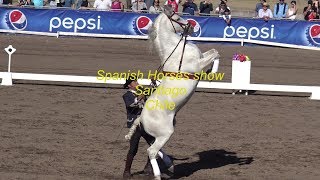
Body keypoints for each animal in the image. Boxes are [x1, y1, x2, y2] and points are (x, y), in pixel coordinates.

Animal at [125, 4, 220, 179]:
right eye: (176, 16)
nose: (192, 26)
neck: (176, 50)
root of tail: (141, 118)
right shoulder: (197, 64)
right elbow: (215, 53)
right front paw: (213, 72)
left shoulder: (201, 57)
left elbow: (214, 51)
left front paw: (211, 71)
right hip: (165, 133)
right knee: (151, 151)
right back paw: (158, 174)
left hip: (157, 134)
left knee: (156, 150)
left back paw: (170, 165)